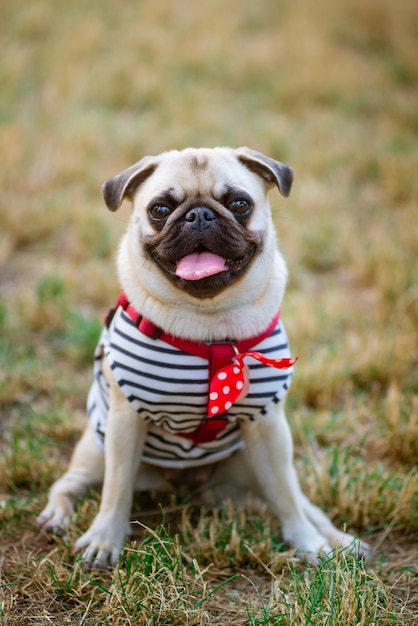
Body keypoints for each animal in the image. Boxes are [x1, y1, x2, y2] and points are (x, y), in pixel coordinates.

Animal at [36, 146, 370, 564]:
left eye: (240, 204)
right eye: (160, 209)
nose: (199, 215)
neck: (210, 326)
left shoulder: (269, 427)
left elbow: (286, 497)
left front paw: (308, 544)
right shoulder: (124, 423)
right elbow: (116, 490)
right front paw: (104, 539)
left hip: (251, 461)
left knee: (299, 499)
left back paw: (339, 542)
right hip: (96, 449)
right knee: (71, 483)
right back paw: (57, 514)